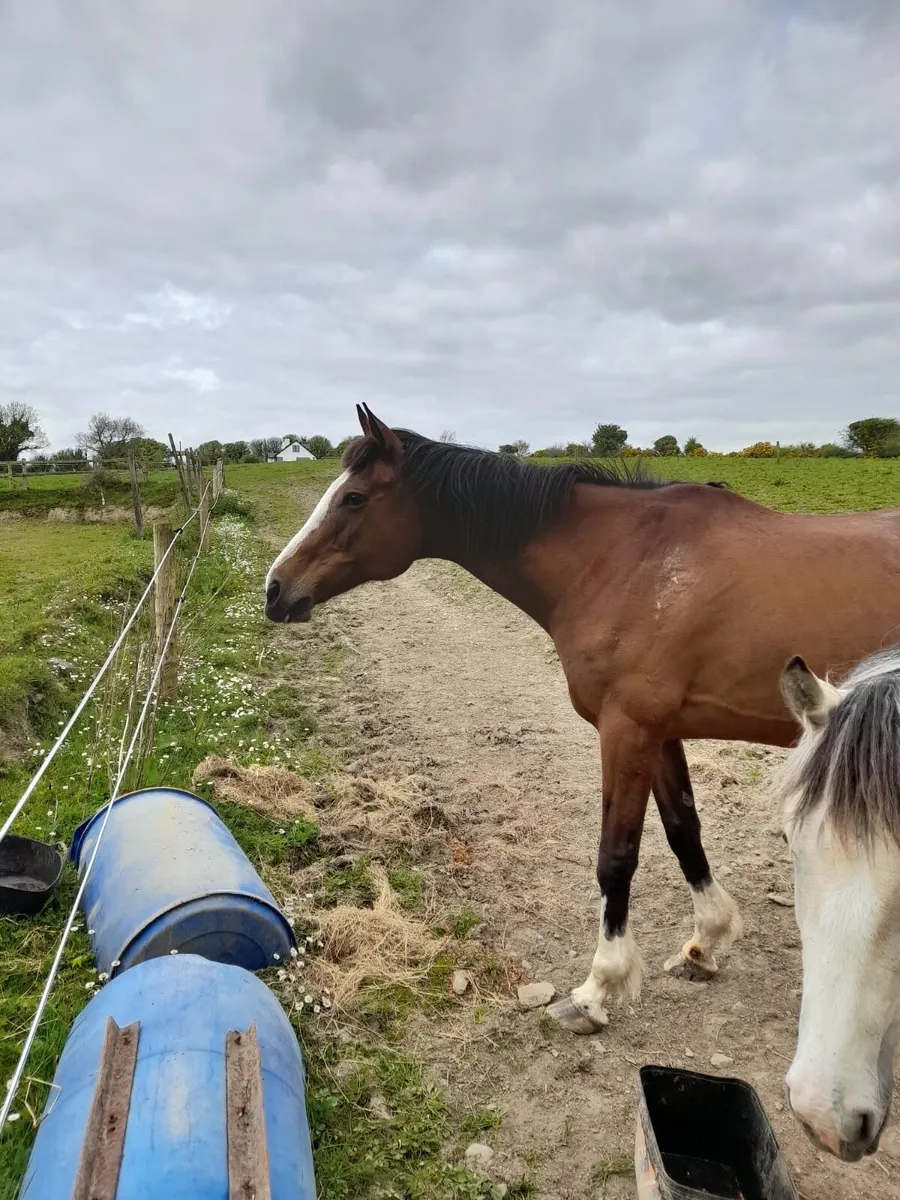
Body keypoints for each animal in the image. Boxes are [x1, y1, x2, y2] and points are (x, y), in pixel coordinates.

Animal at [265, 404, 900, 1036]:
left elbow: (616, 858)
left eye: (354, 499)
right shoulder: (659, 733)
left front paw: (598, 988)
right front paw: (705, 943)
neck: (623, 561)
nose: (274, 589)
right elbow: (683, 830)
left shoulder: (626, 731)